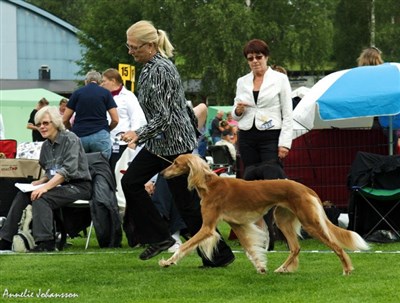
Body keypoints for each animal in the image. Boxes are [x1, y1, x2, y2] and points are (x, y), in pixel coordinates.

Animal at [159, 154, 368, 276]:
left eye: (175, 163)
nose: (161, 173)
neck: (210, 184)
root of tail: (305, 188)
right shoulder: (238, 225)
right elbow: (251, 250)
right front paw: (261, 267)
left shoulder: (207, 227)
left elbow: (185, 246)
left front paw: (168, 262)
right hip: (283, 220)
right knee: (295, 248)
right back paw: (282, 268)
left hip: (309, 222)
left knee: (337, 246)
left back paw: (347, 269)